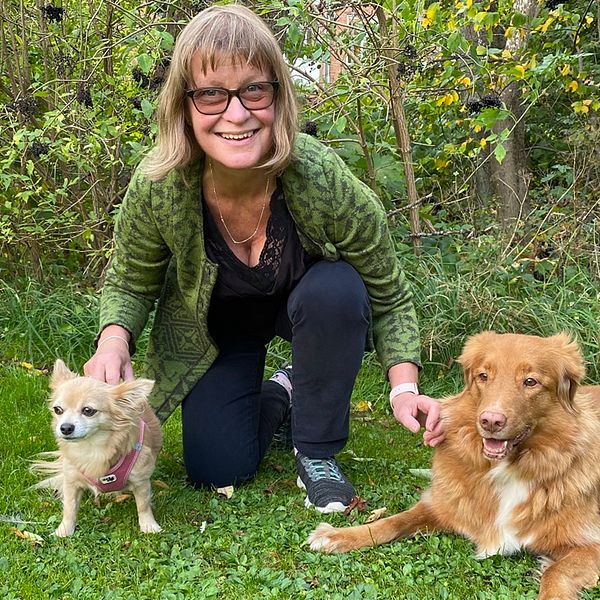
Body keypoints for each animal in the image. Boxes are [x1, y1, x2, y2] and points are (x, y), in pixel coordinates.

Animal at [31, 358, 163, 536]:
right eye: (57, 410)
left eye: (88, 410)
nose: (65, 427)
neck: (92, 448)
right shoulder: (71, 481)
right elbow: (70, 508)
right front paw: (64, 531)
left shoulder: (141, 480)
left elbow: (143, 505)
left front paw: (149, 526)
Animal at [312, 332, 600, 600]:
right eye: (484, 376)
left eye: (530, 382)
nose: (490, 421)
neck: (505, 469)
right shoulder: (441, 506)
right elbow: (390, 522)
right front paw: (338, 535)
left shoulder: (591, 545)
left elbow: (555, 573)